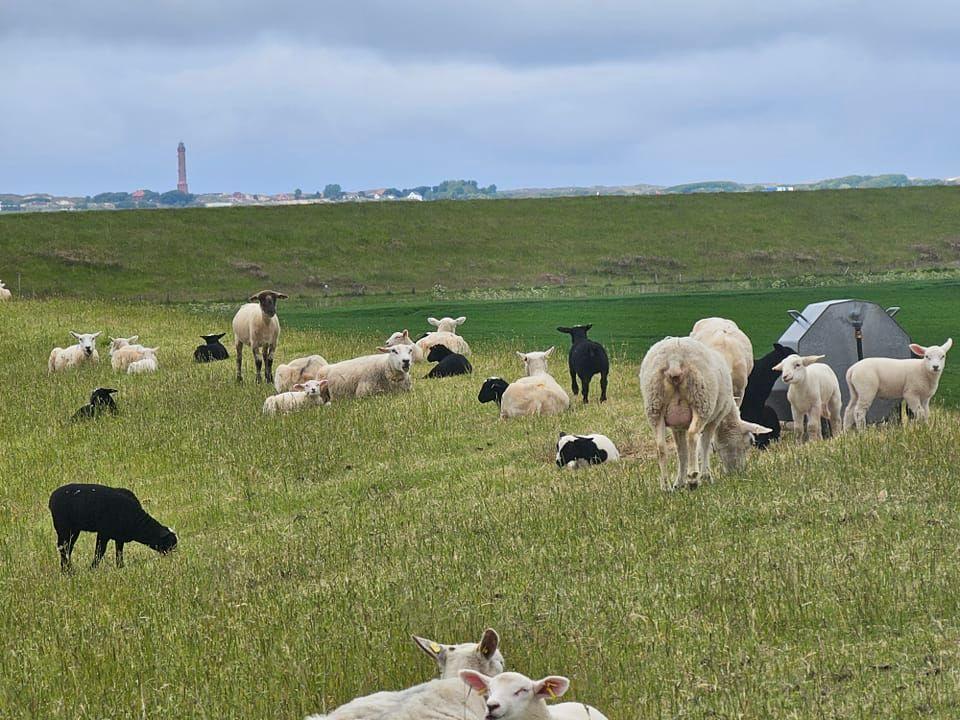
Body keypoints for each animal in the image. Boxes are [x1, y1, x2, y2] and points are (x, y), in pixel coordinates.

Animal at [48, 483, 177, 570]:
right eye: (168, 544)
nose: (171, 559)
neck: (137, 521)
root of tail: (52, 497)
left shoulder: (120, 536)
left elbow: (119, 552)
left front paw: (120, 567)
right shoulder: (104, 532)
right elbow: (100, 551)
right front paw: (92, 569)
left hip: (74, 529)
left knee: (68, 547)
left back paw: (67, 569)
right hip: (63, 527)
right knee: (63, 547)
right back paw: (68, 571)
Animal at [639, 336, 773, 490]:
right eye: (750, 442)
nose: (738, 472)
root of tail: (674, 359)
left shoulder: (676, 426)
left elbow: (682, 452)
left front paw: (679, 482)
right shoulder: (715, 419)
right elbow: (705, 444)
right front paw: (705, 476)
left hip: (654, 406)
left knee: (660, 446)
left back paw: (665, 486)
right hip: (701, 401)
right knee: (692, 435)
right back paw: (693, 479)